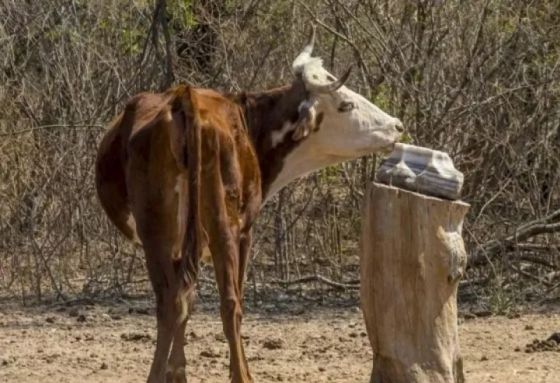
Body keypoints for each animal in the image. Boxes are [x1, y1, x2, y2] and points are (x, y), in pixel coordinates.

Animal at [96, 30, 402, 383]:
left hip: (156, 232)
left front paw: (177, 372)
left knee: (169, 301)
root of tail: (184, 99)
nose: (397, 125)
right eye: (346, 104)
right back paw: (242, 375)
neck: (250, 124)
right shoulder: (245, 232)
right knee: (229, 303)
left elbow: (187, 298)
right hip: (223, 227)